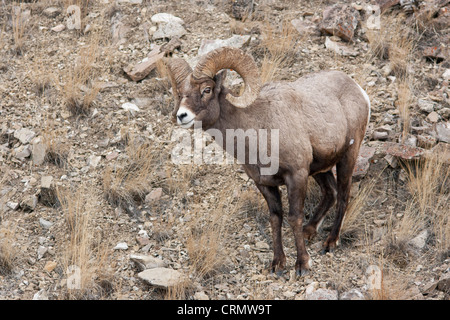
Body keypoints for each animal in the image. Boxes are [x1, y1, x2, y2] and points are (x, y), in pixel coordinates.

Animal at [165, 46, 370, 276]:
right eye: (181, 92)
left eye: (206, 89)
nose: (182, 115)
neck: (259, 132)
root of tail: (359, 91)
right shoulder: (264, 184)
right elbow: (275, 218)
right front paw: (277, 263)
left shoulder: (296, 176)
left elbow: (294, 217)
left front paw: (302, 265)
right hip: (320, 169)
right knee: (331, 192)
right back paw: (309, 231)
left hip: (348, 156)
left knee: (343, 195)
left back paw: (330, 242)